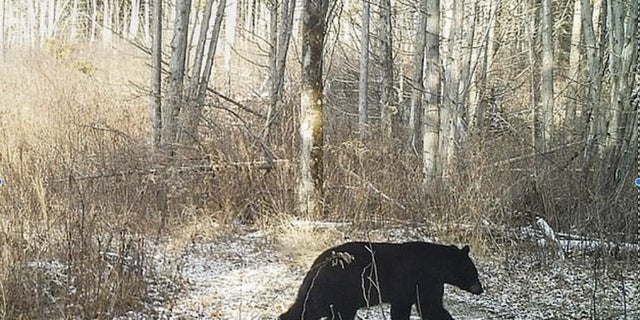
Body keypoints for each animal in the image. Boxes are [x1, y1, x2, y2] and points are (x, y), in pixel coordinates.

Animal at [278, 241, 482, 318]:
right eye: (474, 272)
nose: (480, 289)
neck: (438, 265)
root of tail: (317, 265)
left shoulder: (407, 292)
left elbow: (404, 308)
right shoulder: (423, 280)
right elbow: (431, 306)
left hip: (325, 293)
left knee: (305, 308)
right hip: (337, 291)